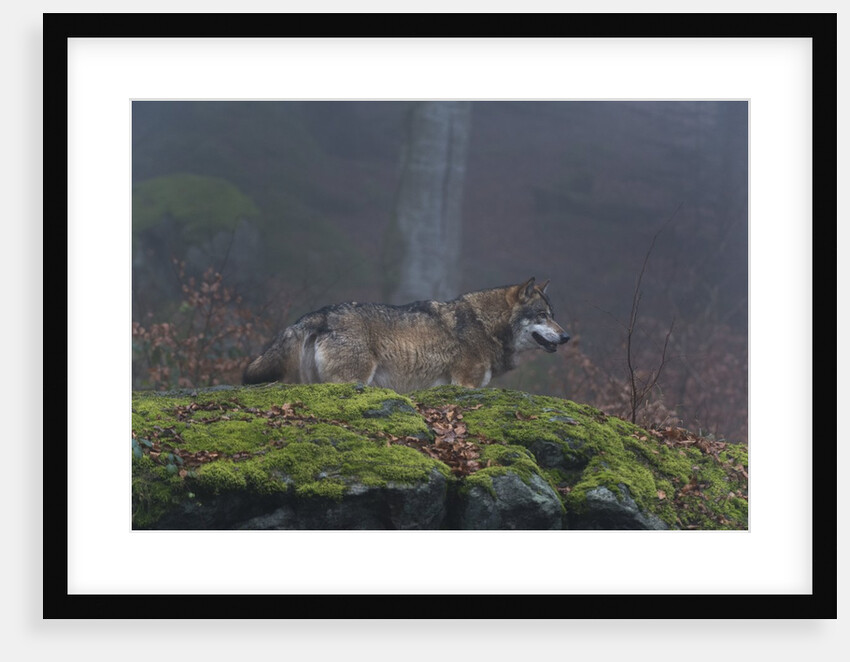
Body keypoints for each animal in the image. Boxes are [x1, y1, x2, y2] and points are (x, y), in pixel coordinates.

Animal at [242, 277, 570, 392]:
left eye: (554, 315)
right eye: (542, 316)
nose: (566, 337)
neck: (484, 324)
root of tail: (321, 313)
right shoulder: (465, 384)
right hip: (354, 380)